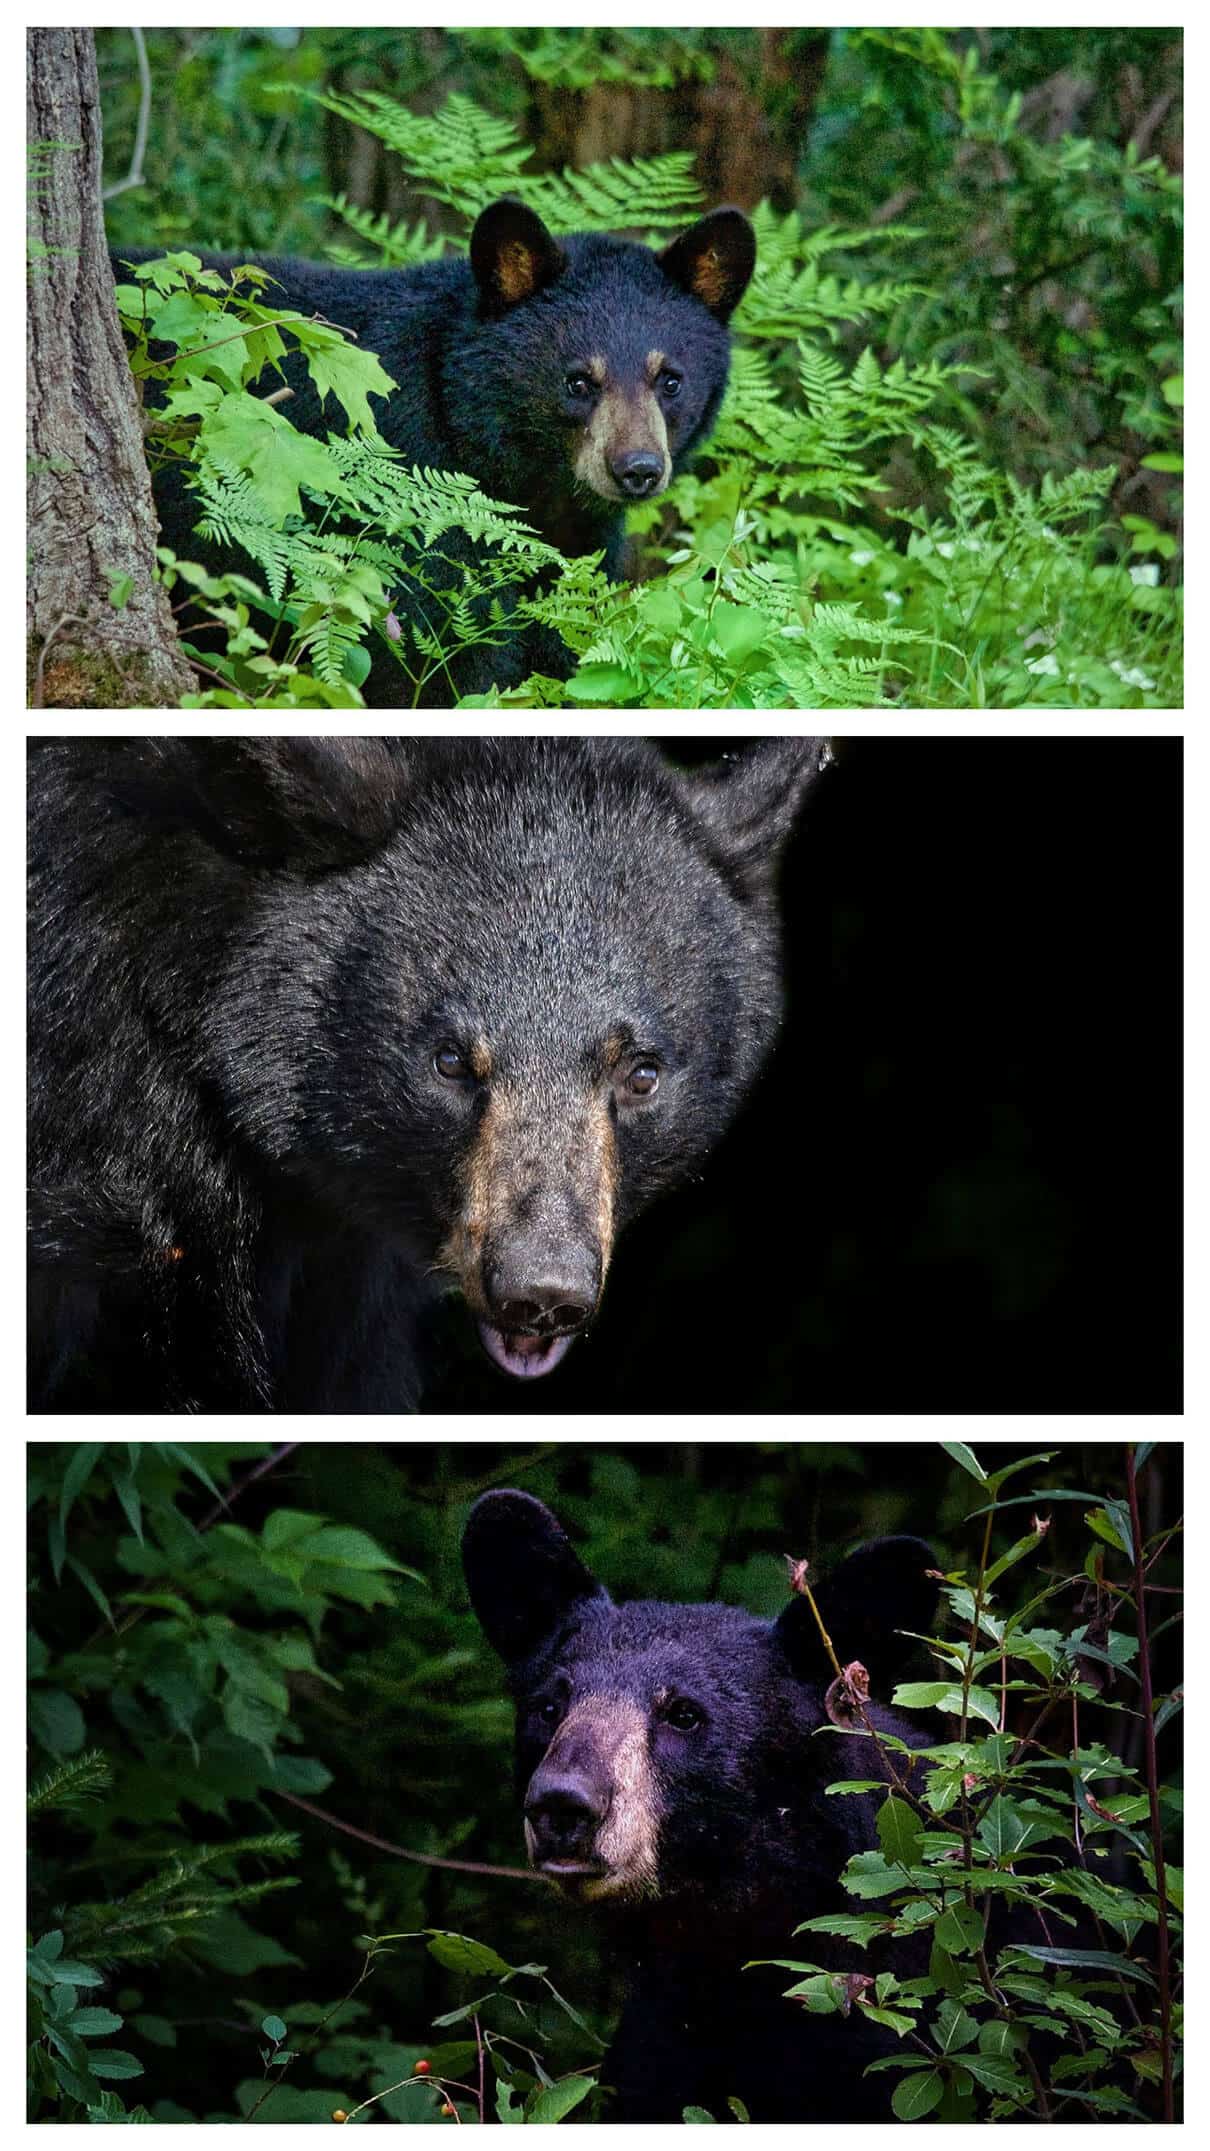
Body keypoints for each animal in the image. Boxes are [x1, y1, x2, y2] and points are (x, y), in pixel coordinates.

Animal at [112, 198, 756, 706]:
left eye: (669, 380)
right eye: (578, 381)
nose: (637, 469)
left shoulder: (571, 550)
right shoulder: (416, 513)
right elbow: (440, 660)